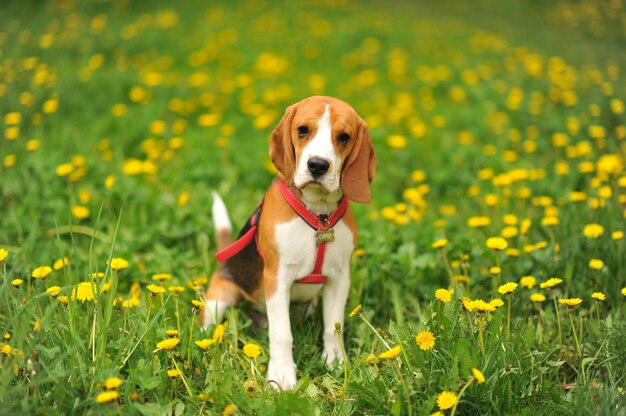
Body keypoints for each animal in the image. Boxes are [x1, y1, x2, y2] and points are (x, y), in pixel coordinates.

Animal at [202, 95, 372, 390]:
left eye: (344, 137)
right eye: (303, 130)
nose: (318, 165)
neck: (318, 214)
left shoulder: (340, 277)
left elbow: (333, 326)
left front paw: (336, 363)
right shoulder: (277, 277)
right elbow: (282, 333)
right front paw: (282, 376)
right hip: (220, 297)